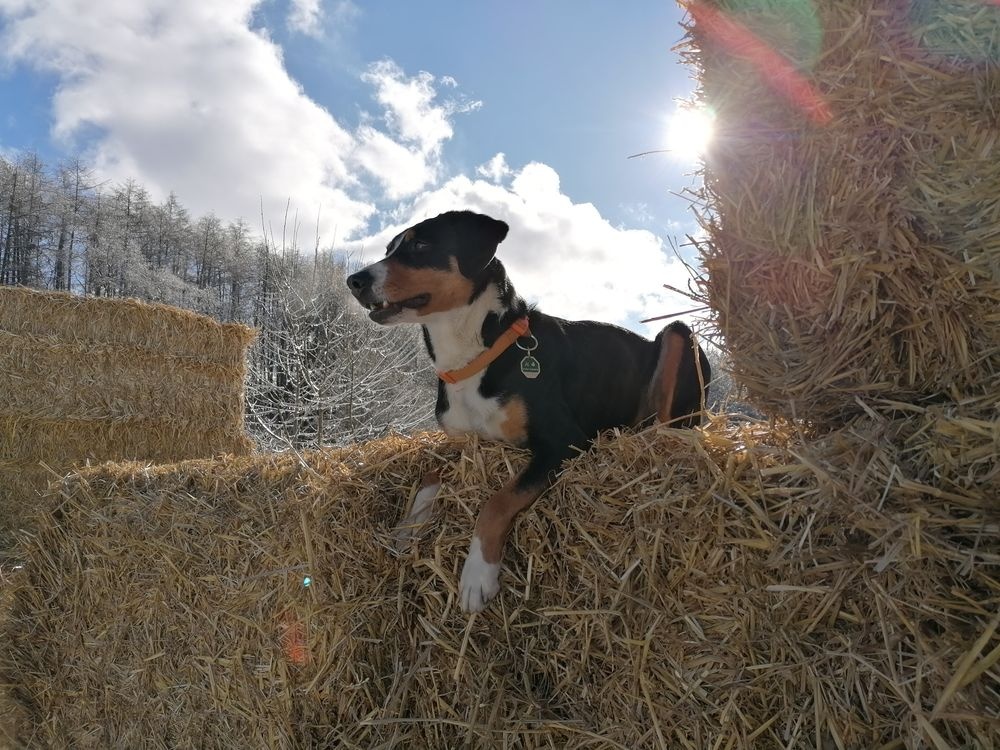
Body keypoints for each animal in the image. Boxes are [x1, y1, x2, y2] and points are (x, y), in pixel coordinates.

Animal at [350, 210, 712, 612]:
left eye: (421, 244)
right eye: (389, 249)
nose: (354, 280)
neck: (474, 356)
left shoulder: (563, 442)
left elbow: (497, 501)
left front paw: (477, 574)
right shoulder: (465, 444)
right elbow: (430, 473)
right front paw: (407, 529)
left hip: (678, 334)